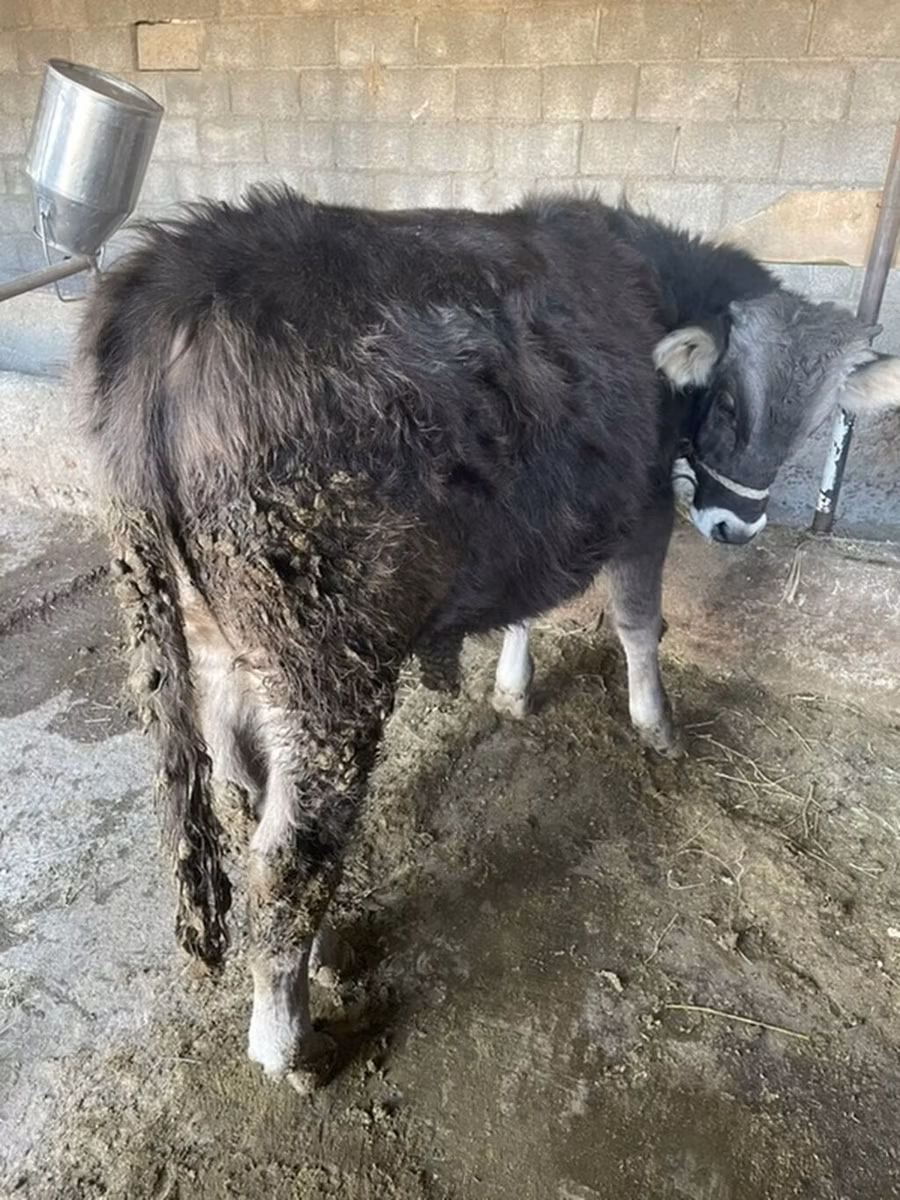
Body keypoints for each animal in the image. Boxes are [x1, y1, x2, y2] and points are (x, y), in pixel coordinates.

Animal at [77, 187, 900, 1089]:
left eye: (813, 424)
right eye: (723, 402)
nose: (735, 526)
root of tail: (169, 278)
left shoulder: (543, 520)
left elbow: (528, 609)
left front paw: (513, 690)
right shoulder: (641, 505)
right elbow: (638, 621)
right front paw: (656, 724)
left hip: (221, 643)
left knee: (249, 799)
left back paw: (320, 950)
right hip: (323, 667)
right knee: (288, 852)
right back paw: (289, 1045)